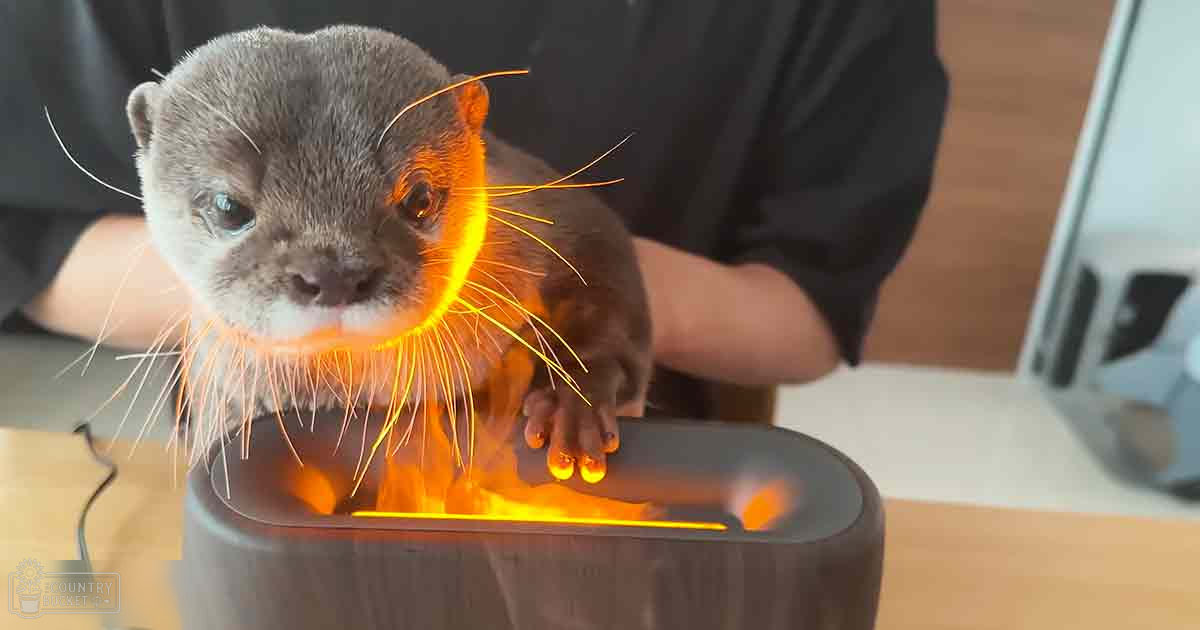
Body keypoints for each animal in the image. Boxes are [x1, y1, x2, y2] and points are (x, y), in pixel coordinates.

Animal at [124, 25, 652, 484]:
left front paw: (574, 400)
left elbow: (605, 280)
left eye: (418, 198)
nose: (333, 273)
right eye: (228, 207)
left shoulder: (548, 208)